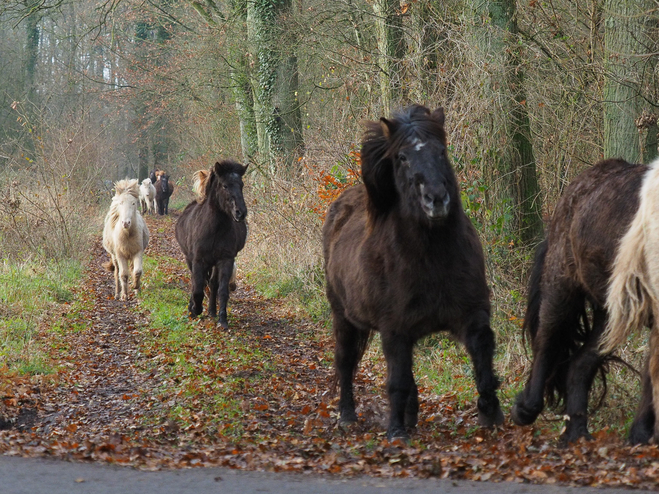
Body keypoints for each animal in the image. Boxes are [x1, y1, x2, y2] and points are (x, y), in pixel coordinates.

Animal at [174, 161, 249, 328]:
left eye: (241, 185)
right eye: (225, 186)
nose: (240, 212)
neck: (214, 229)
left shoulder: (226, 259)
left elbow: (222, 290)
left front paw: (222, 319)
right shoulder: (198, 260)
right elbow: (197, 289)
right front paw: (195, 310)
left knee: (213, 283)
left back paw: (212, 311)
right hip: (190, 259)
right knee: (196, 282)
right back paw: (193, 309)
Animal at [324, 105, 506, 440]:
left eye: (442, 150)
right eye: (402, 157)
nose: (436, 199)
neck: (432, 258)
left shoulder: (472, 315)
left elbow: (483, 360)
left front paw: (491, 414)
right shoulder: (394, 329)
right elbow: (396, 381)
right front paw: (396, 431)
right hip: (343, 317)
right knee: (345, 363)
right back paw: (347, 415)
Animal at [510, 158, 656, 444]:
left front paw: (640, 436)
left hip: (607, 313)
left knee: (580, 364)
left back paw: (577, 433)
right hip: (562, 287)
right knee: (546, 342)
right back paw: (525, 409)